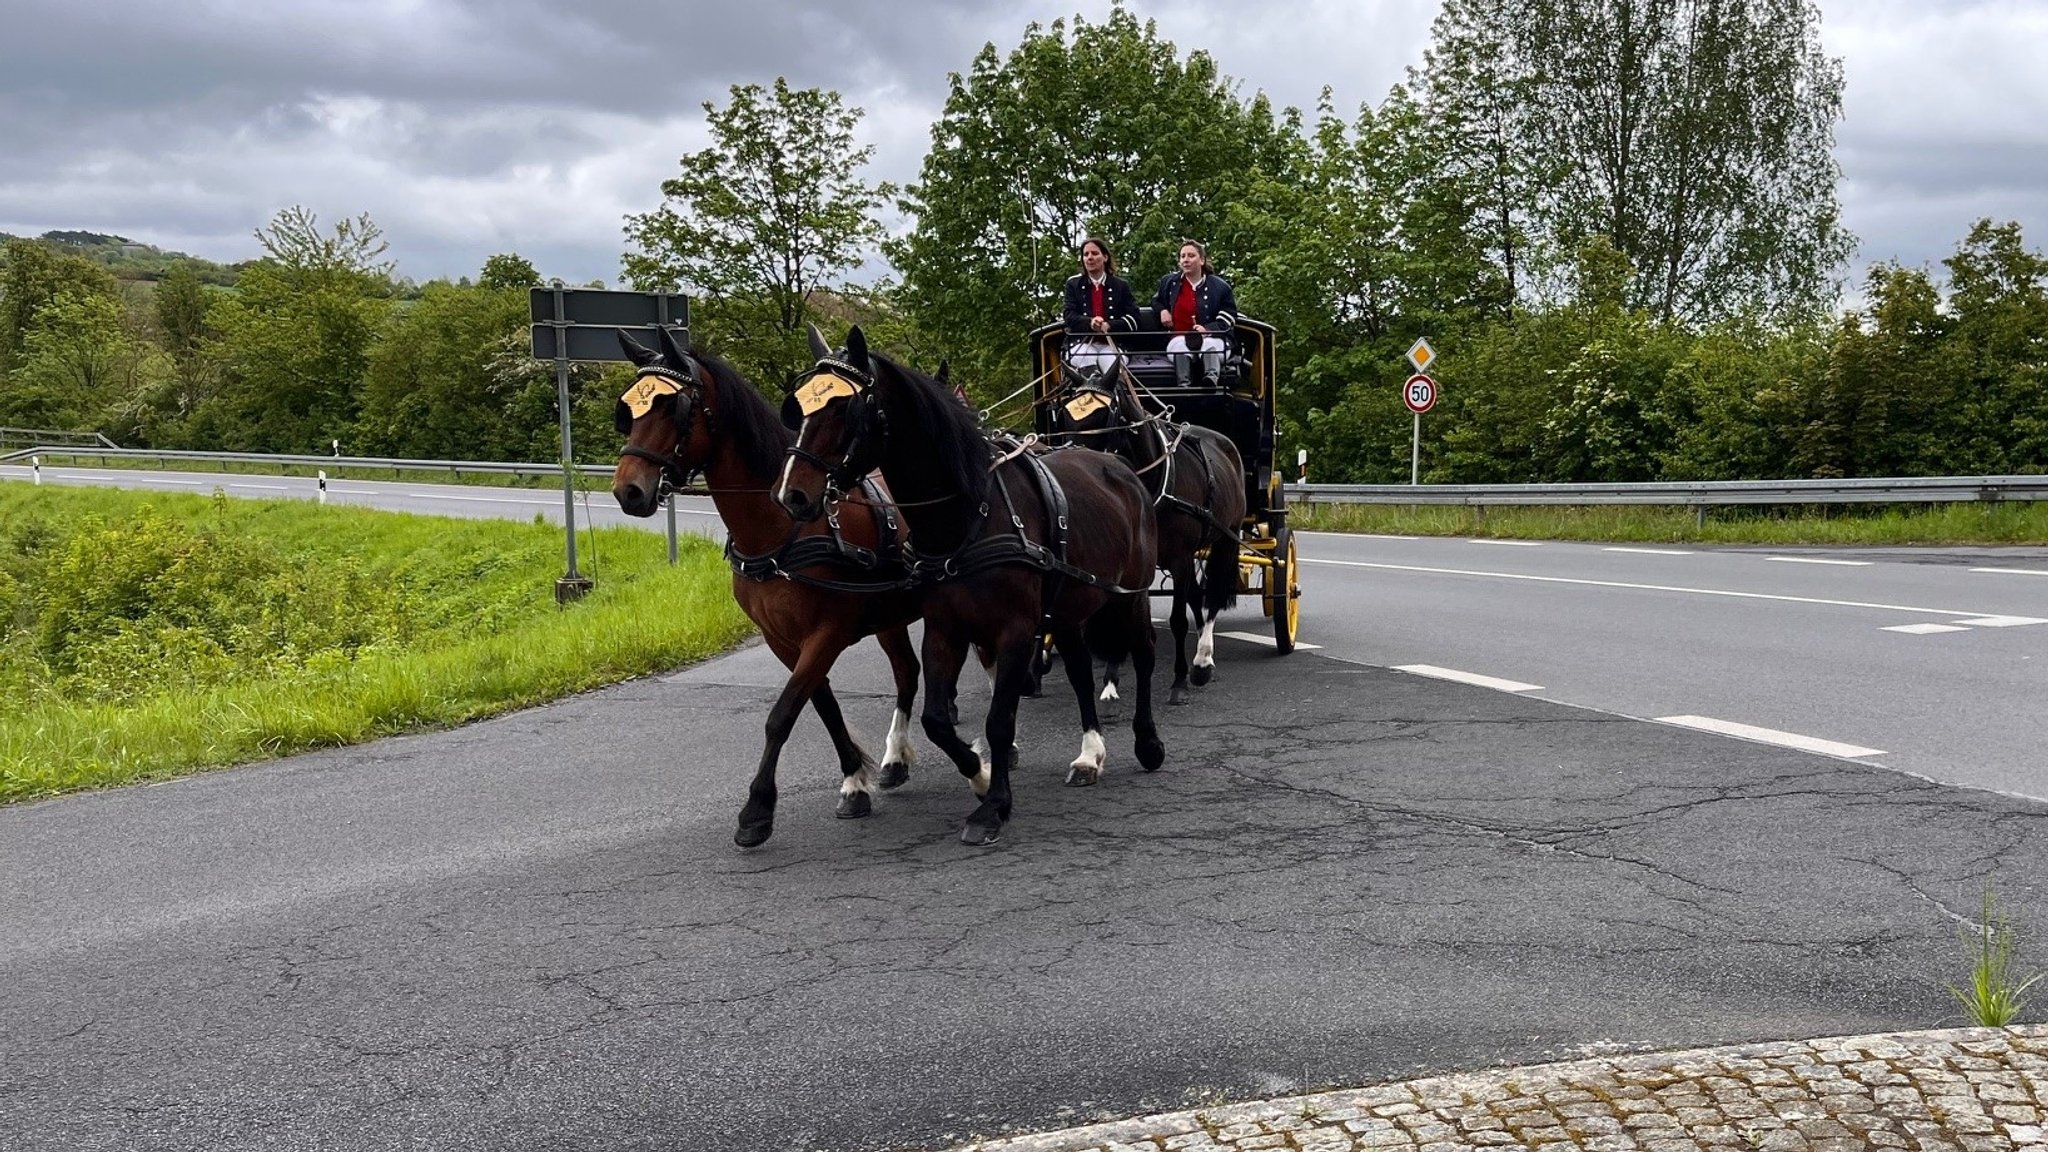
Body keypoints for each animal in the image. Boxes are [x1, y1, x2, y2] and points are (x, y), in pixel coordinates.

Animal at [610, 323, 925, 844]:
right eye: (628, 409)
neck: (783, 529)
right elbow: (822, 706)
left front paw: (757, 810)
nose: (627, 491)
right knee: (907, 670)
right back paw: (896, 758)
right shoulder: (782, 639)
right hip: (890, 614)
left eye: (674, 408)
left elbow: (781, 715)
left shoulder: (828, 632)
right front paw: (853, 782)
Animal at [770, 323, 1163, 844]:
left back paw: (1148, 741)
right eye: (797, 406)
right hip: (1069, 607)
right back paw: (1089, 754)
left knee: (1142, 654)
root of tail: (1119, 467)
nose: (791, 495)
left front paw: (993, 805)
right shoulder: (946, 628)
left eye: (844, 408)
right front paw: (978, 772)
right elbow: (936, 719)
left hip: (1129, 597)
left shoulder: (1015, 631)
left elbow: (1000, 720)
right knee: (1081, 670)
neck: (967, 516)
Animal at [1056, 362, 1245, 701]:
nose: (1073, 464)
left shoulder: (1180, 558)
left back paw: (1203, 660)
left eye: (1105, 415)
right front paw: (1110, 682)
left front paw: (1180, 680)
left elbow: (1177, 619)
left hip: (1227, 537)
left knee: (1213, 596)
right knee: (1196, 596)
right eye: (1064, 413)